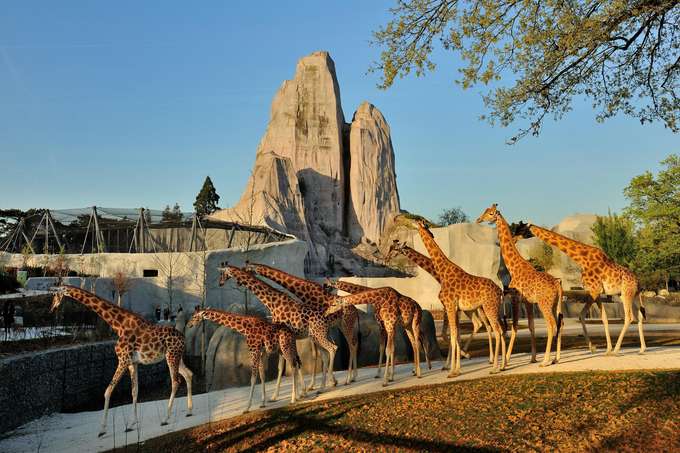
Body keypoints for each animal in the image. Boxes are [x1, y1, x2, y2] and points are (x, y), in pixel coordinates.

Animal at [50, 285, 193, 437]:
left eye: (55, 295)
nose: (52, 308)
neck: (118, 325)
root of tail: (183, 338)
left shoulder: (123, 360)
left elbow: (108, 390)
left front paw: (102, 430)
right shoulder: (132, 363)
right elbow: (134, 390)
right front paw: (132, 424)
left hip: (171, 356)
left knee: (176, 381)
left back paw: (165, 419)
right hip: (177, 356)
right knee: (188, 374)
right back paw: (189, 411)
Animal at [413, 220, 506, 376]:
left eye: (416, 222)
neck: (442, 271)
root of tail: (500, 290)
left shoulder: (450, 306)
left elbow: (453, 336)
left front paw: (452, 371)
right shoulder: (455, 308)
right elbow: (455, 335)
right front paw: (456, 368)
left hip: (488, 307)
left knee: (497, 331)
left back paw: (495, 368)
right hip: (492, 308)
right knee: (500, 330)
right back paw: (503, 365)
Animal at [476, 204, 563, 367]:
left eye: (490, 213)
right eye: (485, 211)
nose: (478, 219)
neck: (513, 266)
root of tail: (557, 285)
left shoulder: (516, 298)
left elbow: (515, 327)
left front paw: (507, 359)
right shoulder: (527, 302)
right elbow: (531, 326)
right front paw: (533, 358)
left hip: (544, 304)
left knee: (551, 325)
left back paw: (546, 361)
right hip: (556, 304)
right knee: (559, 324)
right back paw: (556, 358)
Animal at [529, 223, 646, 355]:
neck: (581, 258)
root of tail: (638, 282)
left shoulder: (594, 290)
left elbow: (581, 315)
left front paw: (594, 347)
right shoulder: (597, 292)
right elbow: (603, 318)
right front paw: (606, 349)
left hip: (626, 293)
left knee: (629, 317)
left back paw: (617, 350)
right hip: (630, 295)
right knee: (639, 316)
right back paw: (642, 349)